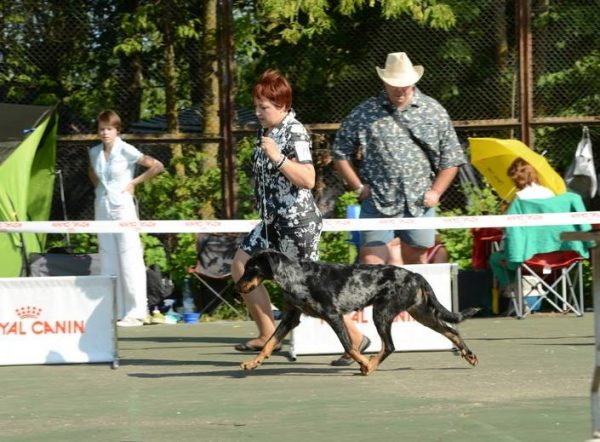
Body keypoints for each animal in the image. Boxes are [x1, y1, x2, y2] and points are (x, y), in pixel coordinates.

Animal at [236, 250, 478, 374]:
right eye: (245, 267)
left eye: (251, 268)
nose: (237, 287)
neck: (297, 277)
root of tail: (416, 275)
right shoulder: (291, 319)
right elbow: (269, 343)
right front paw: (252, 363)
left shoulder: (333, 316)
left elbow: (350, 347)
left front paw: (364, 363)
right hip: (422, 314)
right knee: (451, 331)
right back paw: (470, 356)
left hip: (382, 313)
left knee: (390, 346)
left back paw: (370, 366)